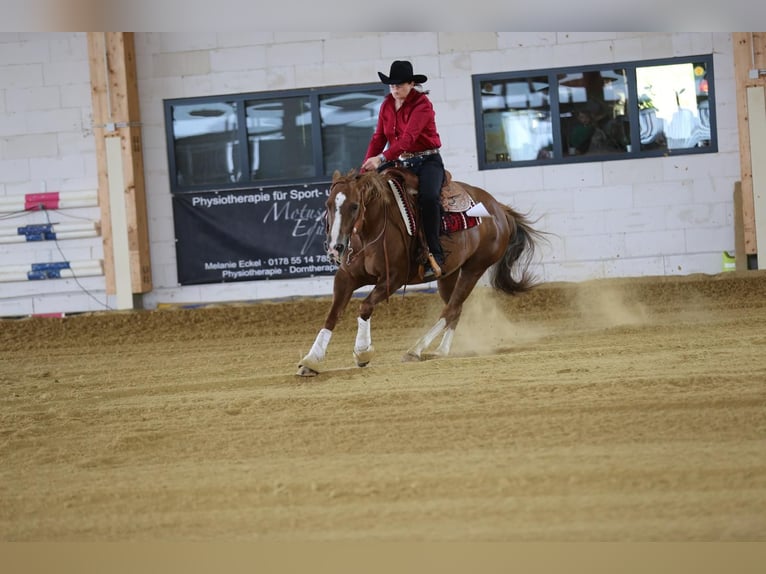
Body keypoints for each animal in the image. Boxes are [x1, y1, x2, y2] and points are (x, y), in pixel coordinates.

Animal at [296, 166, 544, 378]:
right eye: (328, 204)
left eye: (355, 206)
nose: (335, 247)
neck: (370, 234)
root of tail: (499, 209)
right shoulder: (346, 277)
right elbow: (333, 314)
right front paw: (311, 360)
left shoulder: (393, 279)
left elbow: (365, 306)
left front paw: (362, 351)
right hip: (449, 274)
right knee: (455, 309)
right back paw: (441, 351)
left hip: (474, 268)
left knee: (450, 309)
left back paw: (416, 349)